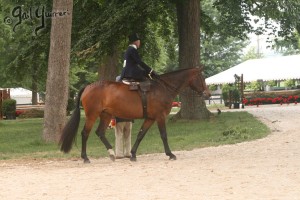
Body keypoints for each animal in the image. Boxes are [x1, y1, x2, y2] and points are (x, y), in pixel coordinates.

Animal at [59, 67, 211, 162]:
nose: (208, 94)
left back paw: (112, 154)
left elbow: (140, 134)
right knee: (85, 133)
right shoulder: (160, 117)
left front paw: (132, 154)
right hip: (92, 115)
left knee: (100, 132)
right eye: (202, 78)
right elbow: (163, 135)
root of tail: (88, 86)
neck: (163, 88)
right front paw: (170, 154)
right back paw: (85, 157)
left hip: (106, 115)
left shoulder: (150, 118)